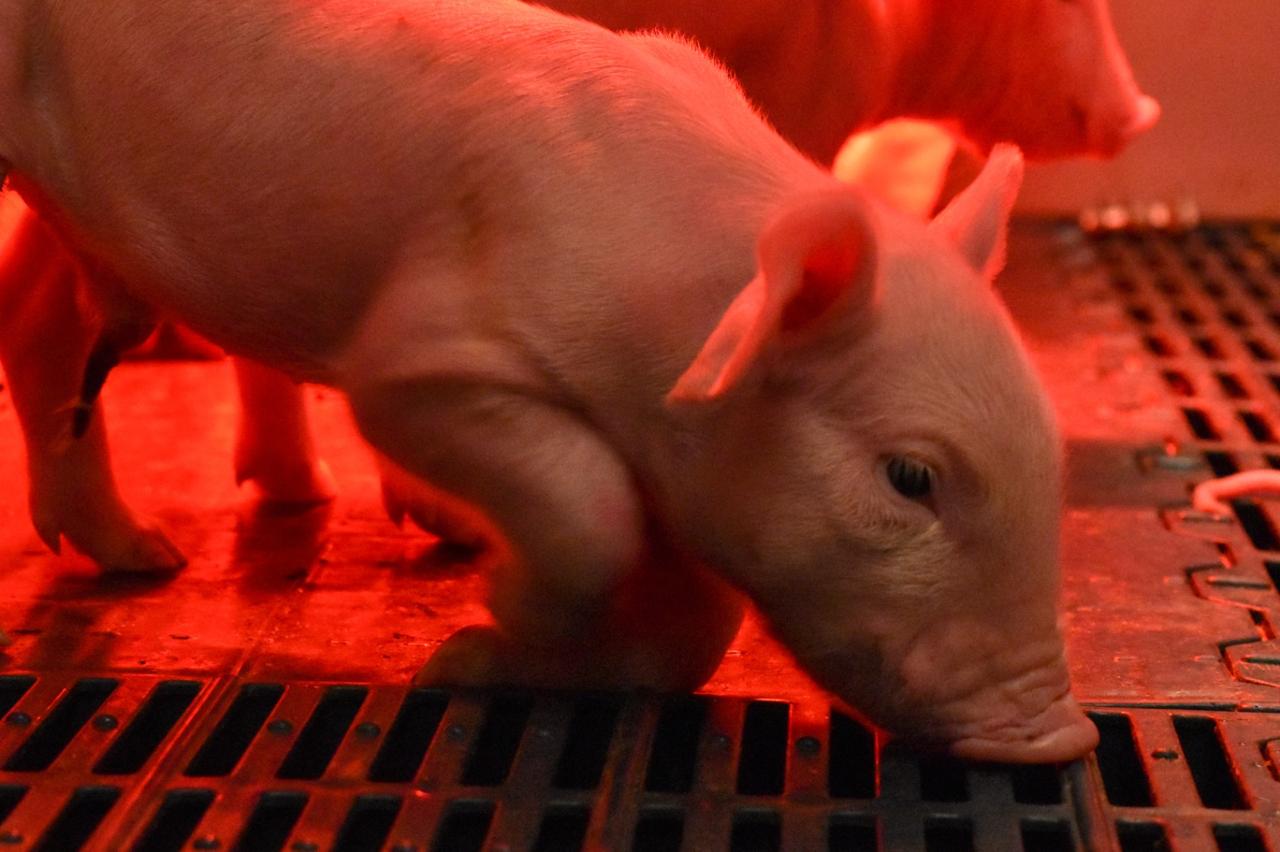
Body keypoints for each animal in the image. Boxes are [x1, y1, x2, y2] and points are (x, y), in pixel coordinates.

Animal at [0, 0, 1097, 761]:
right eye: (908, 478)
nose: (1059, 738)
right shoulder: (423, 364)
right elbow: (584, 511)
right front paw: (464, 642)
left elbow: (696, 630)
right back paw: (151, 560)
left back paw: (143, 559)